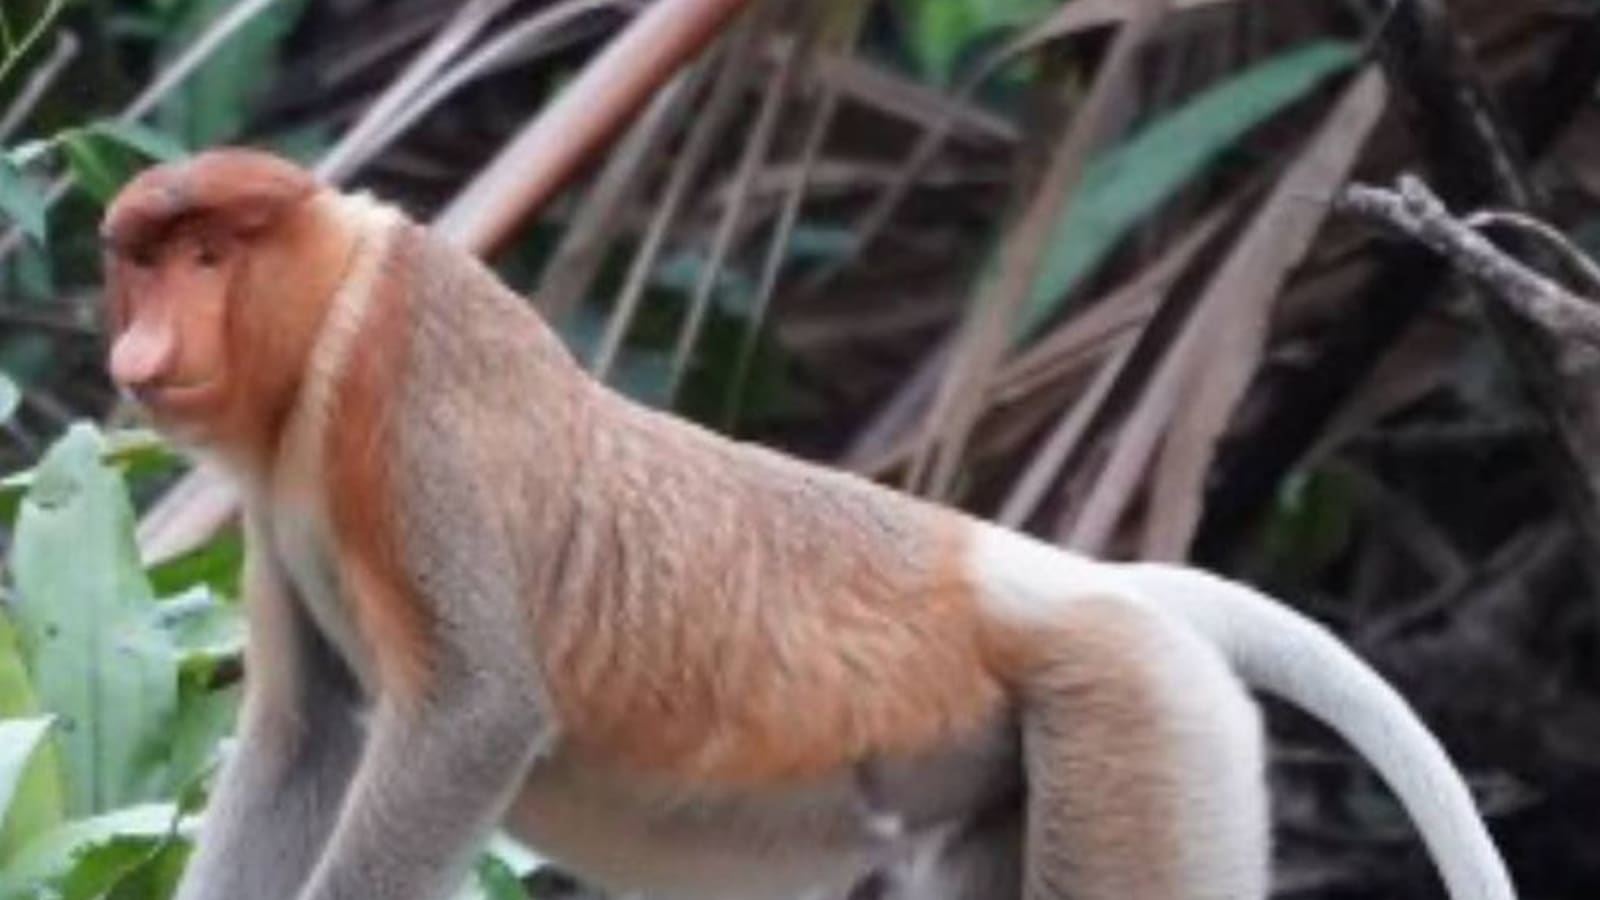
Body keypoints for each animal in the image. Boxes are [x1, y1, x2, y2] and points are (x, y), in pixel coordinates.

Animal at [99, 148, 1516, 900]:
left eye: (210, 256)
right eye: (144, 259)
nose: (141, 347)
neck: (330, 307)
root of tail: (1067, 578)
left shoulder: (402, 385)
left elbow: (474, 713)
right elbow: (302, 738)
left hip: (1137, 718)